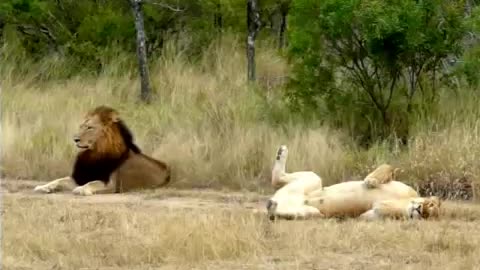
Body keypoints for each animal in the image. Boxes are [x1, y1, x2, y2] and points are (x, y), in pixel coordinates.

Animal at [32, 105, 171, 196]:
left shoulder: (111, 184)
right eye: (81, 126)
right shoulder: (79, 178)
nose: (75, 139)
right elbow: (59, 180)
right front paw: (42, 187)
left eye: (89, 127)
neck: (94, 153)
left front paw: (81, 189)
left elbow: (93, 183)